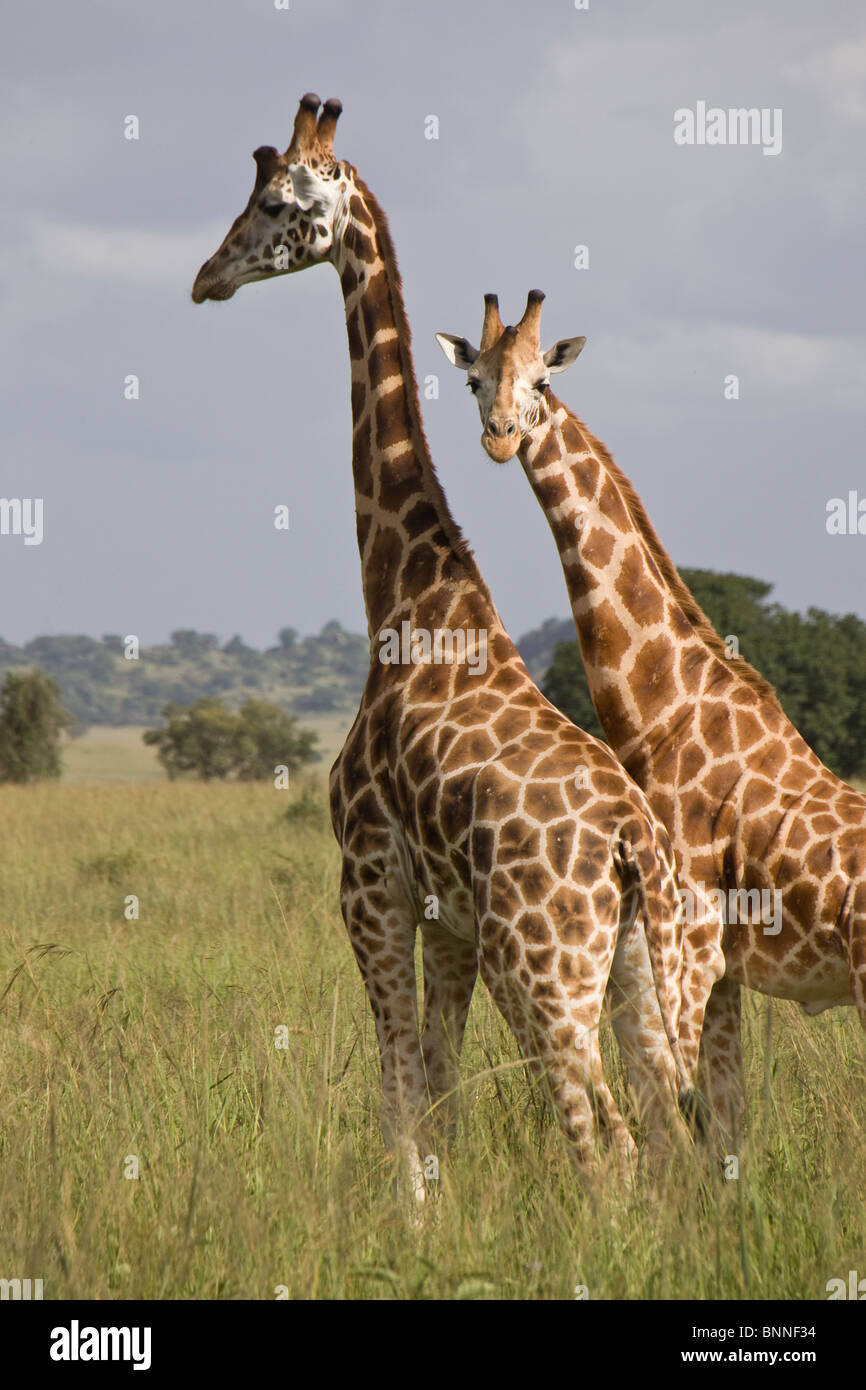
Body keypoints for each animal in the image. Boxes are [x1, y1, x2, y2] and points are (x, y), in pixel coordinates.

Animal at [191, 97, 701, 1189]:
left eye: (275, 201)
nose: (206, 276)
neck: (408, 589)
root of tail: (632, 844)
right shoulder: (449, 918)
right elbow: (438, 1091)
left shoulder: (370, 877)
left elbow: (396, 1088)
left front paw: (412, 1215)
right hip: (641, 973)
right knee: (669, 1134)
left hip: (544, 965)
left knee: (605, 1141)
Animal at [437, 288, 866, 1143]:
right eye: (474, 379)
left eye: (541, 381)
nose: (500, 438)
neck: (665, 711)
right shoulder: (720, 969)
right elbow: (724, 1121)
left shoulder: (692, 949)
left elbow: (684, 1114)